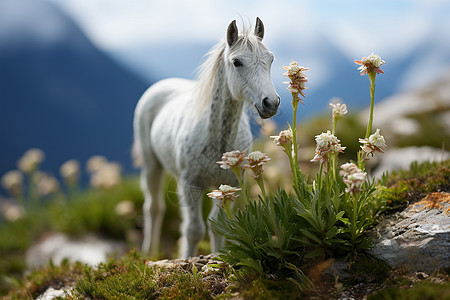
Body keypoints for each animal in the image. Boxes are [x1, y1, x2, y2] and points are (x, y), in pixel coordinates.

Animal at [134, 18, 280, 258]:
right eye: (237, 62)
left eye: (271, 59)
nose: (271, 103)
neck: (217, 141)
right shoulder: (190, 184)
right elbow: (193, 230)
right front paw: (188, 260)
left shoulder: (230, 184)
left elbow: (218, 226)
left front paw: (217, 257)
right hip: (151, 164)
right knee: (153, 207)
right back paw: (149, 253)